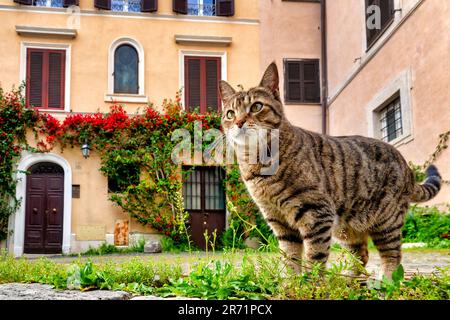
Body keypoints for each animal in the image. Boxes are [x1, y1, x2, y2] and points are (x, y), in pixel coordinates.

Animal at [220, 62, 442, 278]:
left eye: (256, 106)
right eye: (230, 113)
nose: (238, 122)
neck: (257, 162)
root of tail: (406, 165)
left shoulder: (316, 212)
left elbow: (314, 257)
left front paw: (310, 284)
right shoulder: (279, 220)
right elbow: (290, 258)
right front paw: (290, 283)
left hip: (386, 222)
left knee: (393, 256)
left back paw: (386, 282)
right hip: (346, 227)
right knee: (362, 253)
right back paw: (350, 279)